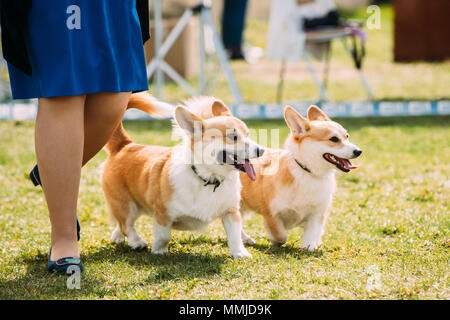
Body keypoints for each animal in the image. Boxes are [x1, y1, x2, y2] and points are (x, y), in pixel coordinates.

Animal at [100, 92, 266, 258]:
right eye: (233, 136)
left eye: (247, 134)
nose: (261, 150)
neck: (208, 178)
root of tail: (126, 145)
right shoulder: (162, 213)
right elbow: (164, 235)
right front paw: (159, 250)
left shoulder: (231, 212)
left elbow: (234, 235)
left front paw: (240, 253)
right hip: (127, 205)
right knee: (126, 225)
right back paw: (137, 242)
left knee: (121, 225)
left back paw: (117, 237)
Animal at [239, 105, 362, 250]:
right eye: (334, 139)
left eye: (347, 137)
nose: (359, 151)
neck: (308, 172)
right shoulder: (271, 213)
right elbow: (280, 235)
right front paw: (274, 240)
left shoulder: (317, 213)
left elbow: (312, 232)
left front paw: (310, 245)